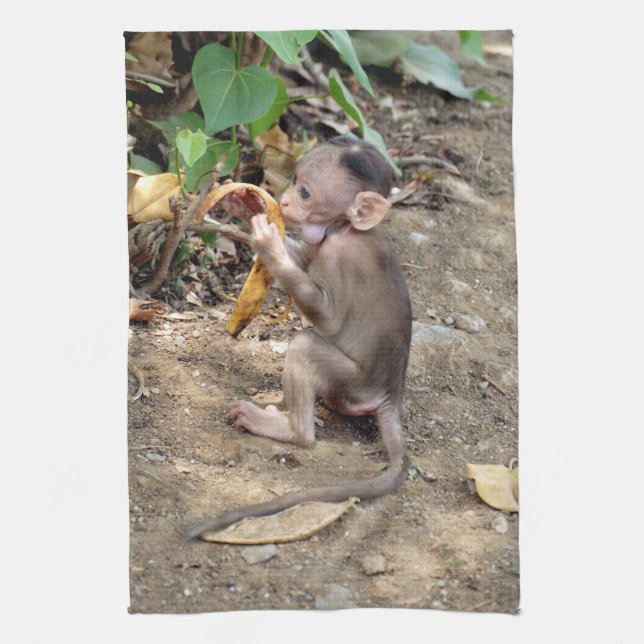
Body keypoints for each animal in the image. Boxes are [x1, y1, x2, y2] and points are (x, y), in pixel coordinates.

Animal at [187, 135, 412, 539]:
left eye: (306, 192)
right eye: (293, 180)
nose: (286, 200)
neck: (345, 228)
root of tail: (390, 394)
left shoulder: (340, 256)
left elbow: (328, 317)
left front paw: (268, 244)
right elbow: (305, 259)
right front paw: (245, 204)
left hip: (354, 384)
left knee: (306, 346)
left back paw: (290, 430)